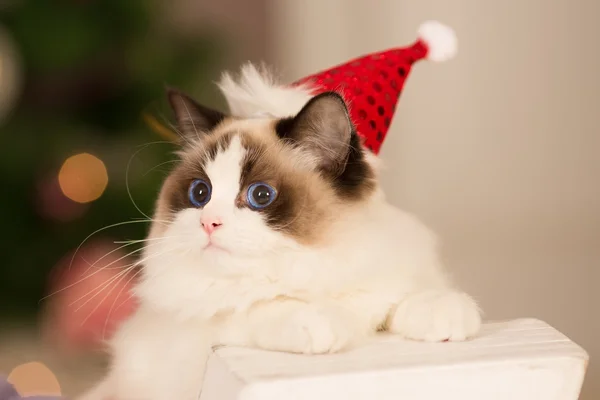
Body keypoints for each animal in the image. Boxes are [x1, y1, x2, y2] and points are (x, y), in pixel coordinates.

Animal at [81, 64, 482, 400]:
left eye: (260, 195)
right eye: (200, 193)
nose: (209, 222)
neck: (313, 262)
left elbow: (405, 296)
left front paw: (445, 313)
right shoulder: (191, 340)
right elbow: (251, 308)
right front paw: (318, 320)